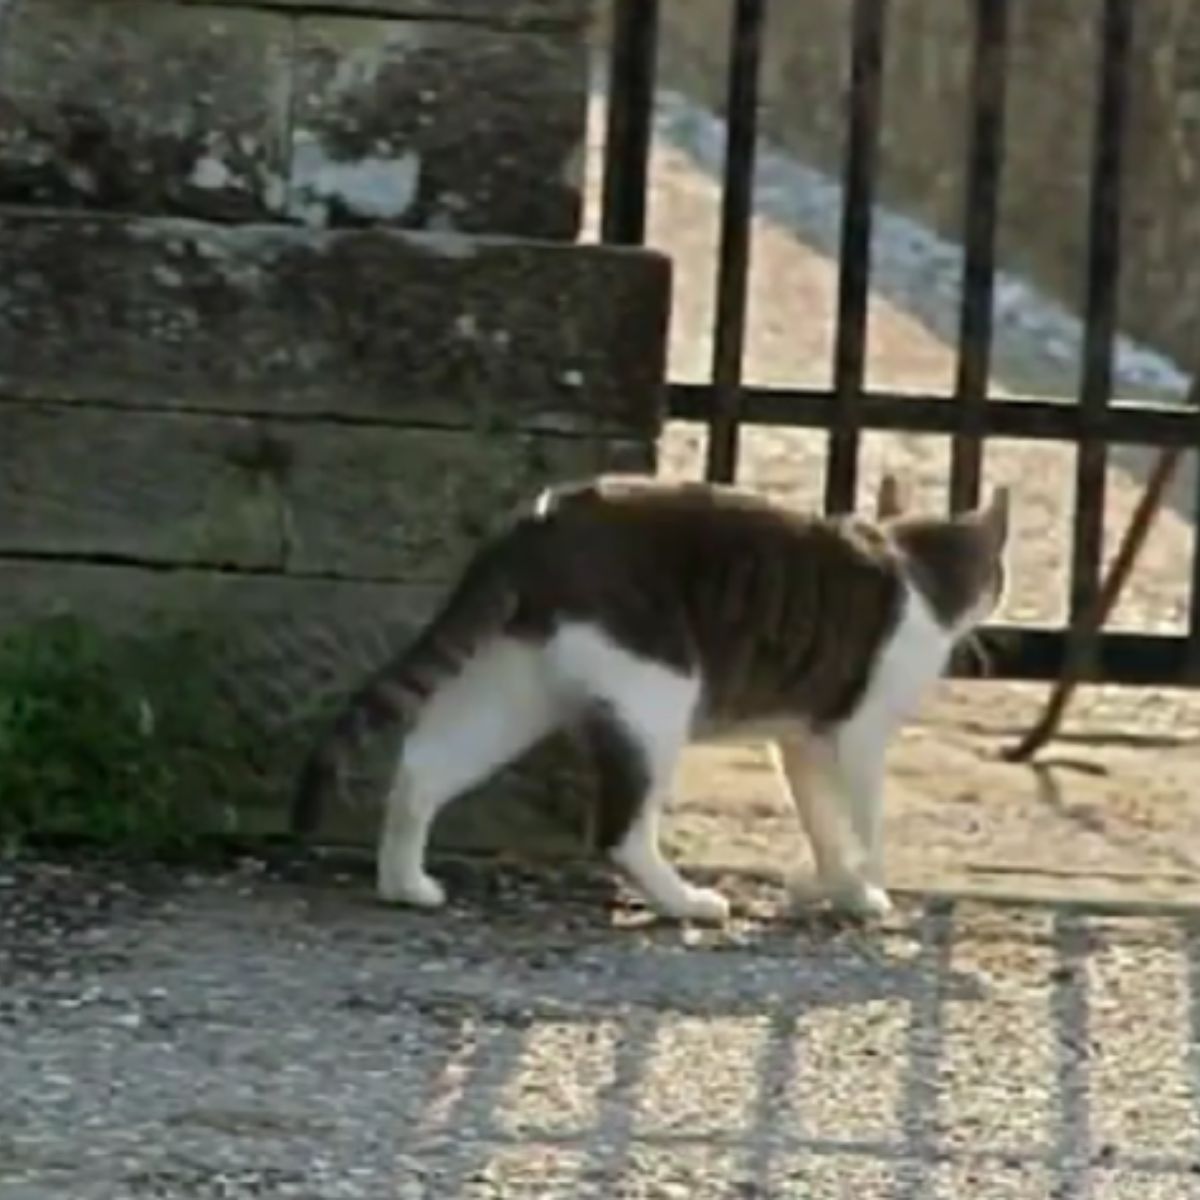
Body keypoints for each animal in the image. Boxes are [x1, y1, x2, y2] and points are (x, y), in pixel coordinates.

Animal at [295, 472, 1008, 921]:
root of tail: (542, 519)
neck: (913, 559)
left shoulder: (803, 736)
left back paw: (404, 883)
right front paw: (869, 892)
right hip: (657, 687)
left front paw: (833, 886)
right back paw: (683, 901)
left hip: (516, 689)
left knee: (422, 768)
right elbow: (865, 817)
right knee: (620, 831)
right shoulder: (858, 732)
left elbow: (822, 819)